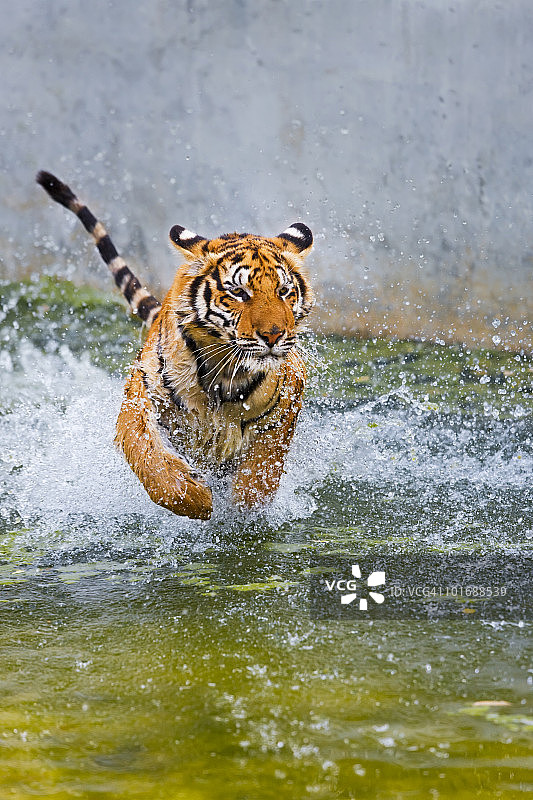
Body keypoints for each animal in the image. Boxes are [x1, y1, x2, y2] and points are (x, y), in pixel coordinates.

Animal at [36, 171, 314, 520]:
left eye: (284, 292)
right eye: (238, 293)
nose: (274, 336)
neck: (224, 373)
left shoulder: (287, 402)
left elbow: (263, 468)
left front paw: (244, 507)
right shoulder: (139, 398)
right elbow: (148, 457)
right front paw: (196, 500)